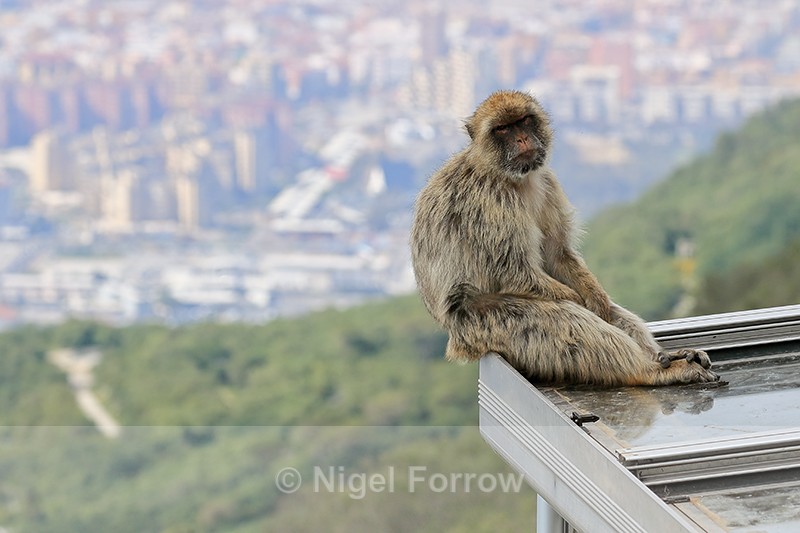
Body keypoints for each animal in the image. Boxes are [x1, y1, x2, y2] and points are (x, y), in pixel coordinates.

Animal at [410, 90, 719, 386]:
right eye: (502, 129)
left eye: (523, 121)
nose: (522, 138)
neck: (512, 178)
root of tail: (456, 338)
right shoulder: (491, 203)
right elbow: (516, 273)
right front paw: (578, 301)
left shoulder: (547, 182)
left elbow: (558, 255)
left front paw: (595, 297)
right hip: (485, 323)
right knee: (561, 319)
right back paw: (649, 370)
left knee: (608, 314)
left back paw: (661, 356)